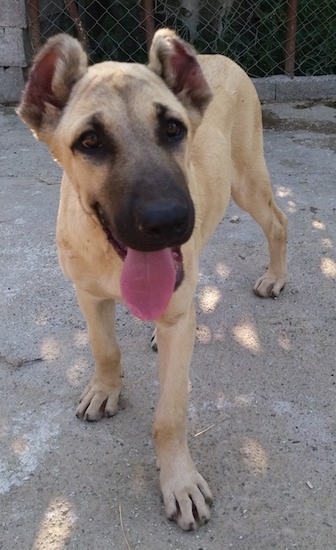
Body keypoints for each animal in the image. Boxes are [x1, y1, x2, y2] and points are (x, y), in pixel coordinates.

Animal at [17, 29, 286, 532]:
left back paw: (276, 277)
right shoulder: (88, 295)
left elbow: (170, 415)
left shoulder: (177, 314)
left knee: (277, 222)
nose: (168, 221)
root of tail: (218, 56)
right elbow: (105, 348)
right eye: (89, 141)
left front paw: (179, 481)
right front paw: (105, 389)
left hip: (246, 180)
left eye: (174, 129)